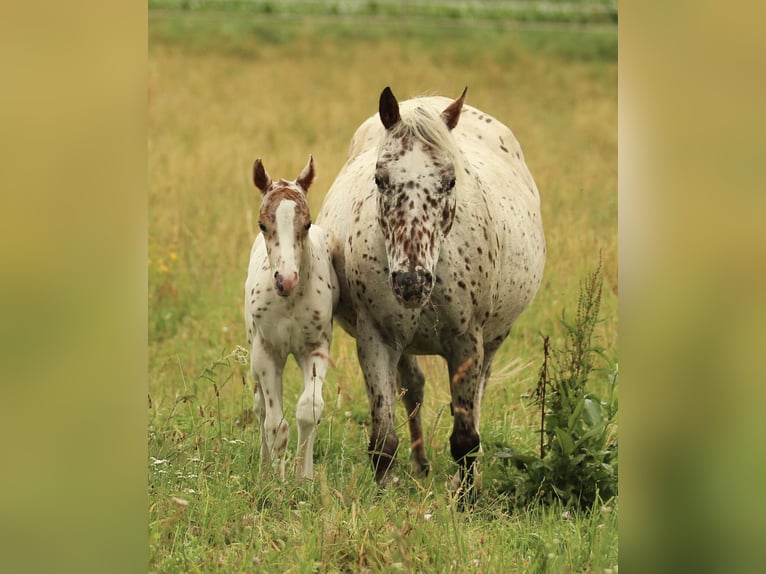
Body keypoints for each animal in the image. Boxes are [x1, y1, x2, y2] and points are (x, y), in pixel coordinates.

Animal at [244, 155, 339, 481]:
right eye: (262, 224)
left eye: (306, 223)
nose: (286, 280)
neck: (289, 302)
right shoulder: (267, 350)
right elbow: (275, 424)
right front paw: (276, 481)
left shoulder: (316, 348)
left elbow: (309, 409)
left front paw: (303, 478)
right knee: (261, 408)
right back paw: (263, 469)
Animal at [316, 87, 546, 500]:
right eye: (380, 178)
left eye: (450, 181)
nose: (411, 282)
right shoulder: (376, 338)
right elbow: (383, 438)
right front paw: (383, 496)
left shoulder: (467, 341)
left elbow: (466, 438)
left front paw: (466, 499)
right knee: (413, 388)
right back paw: (420, 465)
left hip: (493, 341)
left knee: (475, 397)